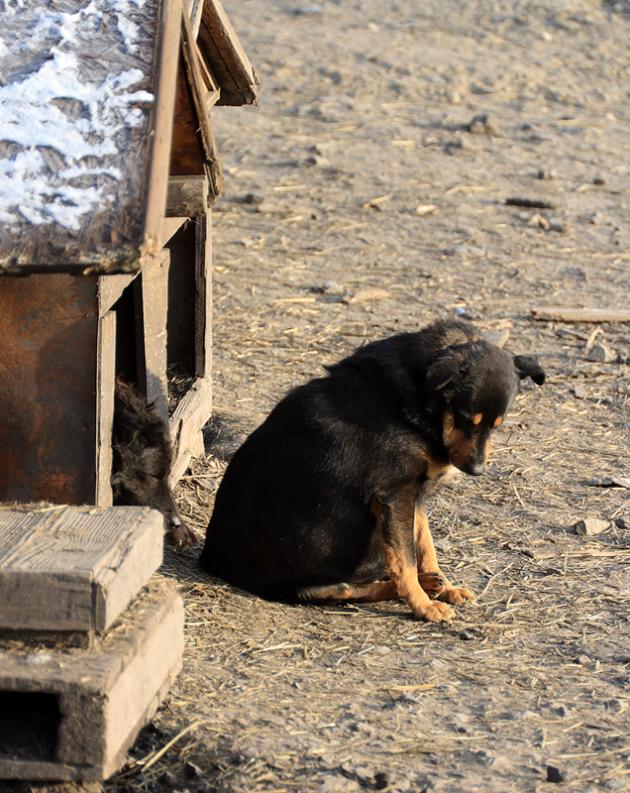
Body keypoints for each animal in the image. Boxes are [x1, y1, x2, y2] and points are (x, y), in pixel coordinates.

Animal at [200, 318, 544, 620]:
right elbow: (406, 562)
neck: (415, 401)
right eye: (464, 418)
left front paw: (444, 586)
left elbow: (425, 545)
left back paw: (431, 584)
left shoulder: (414, 497)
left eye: (497, 425)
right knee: (346, 589)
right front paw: (424, 607)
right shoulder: (395, 497)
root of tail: (212, 562)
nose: (476, 470)